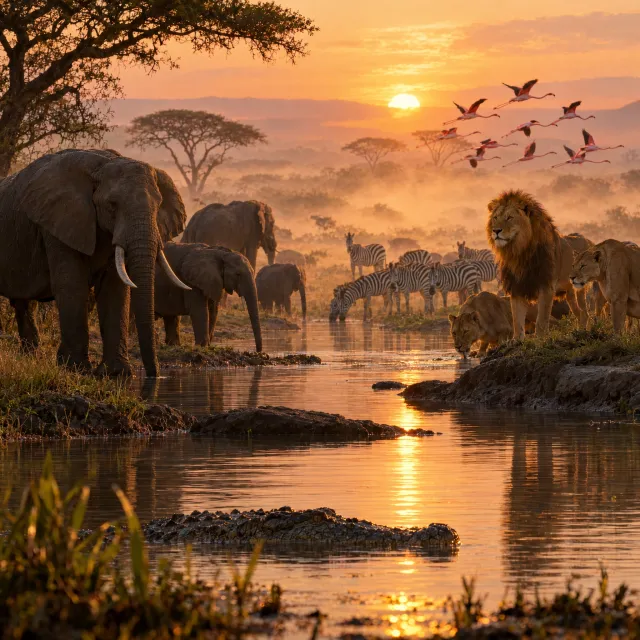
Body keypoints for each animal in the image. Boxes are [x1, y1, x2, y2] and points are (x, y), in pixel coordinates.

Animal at [0, 148, 189, 377]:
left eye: (159, 206)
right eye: (112, 205)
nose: (156, 374)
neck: (102, 166)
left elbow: (114, 288)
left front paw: (117, 373)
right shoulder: (59, 222)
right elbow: (72, 285)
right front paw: (77, 369)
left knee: (23, 302)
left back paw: (31, 357)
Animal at [487, 190, 587, 338]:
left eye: (509, 217)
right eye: (495, 217)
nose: (496, 231)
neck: (519, 252)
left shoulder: (546, 286)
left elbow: (541, 319)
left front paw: (540, 338)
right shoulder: (517, 287)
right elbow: (517, 320)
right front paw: (517, 340)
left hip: (580, 289)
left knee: (585, 313)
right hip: (569, 292)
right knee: (579, 313)